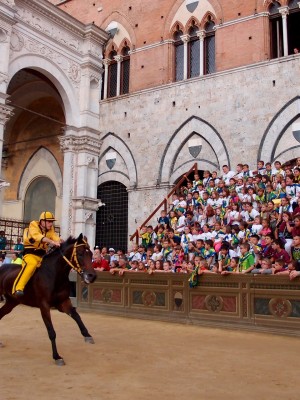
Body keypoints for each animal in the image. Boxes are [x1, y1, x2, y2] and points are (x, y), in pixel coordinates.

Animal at [0, 234, 96, 366]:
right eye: (80, 253)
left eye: (91, 254)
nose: (92, 276)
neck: (54, 274)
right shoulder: (44, 306)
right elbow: (51, 332)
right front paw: (57, 356)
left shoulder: (63, 302)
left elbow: (77, 316)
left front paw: (87, 335)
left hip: (12, 302)